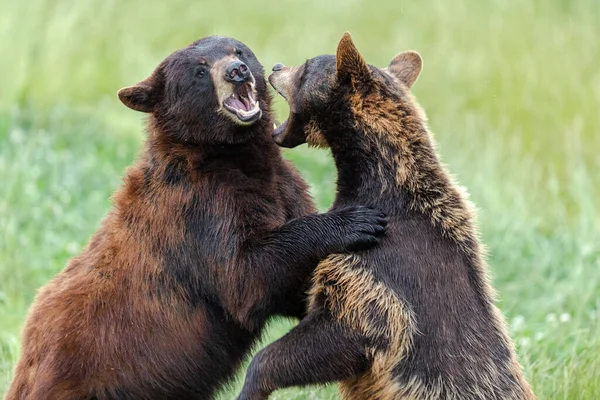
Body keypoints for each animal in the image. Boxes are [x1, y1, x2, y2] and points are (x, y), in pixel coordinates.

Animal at [4, 35, 386, 400]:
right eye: (200, 71)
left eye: (238, 50)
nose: (236, 71)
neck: (232, 155)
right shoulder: (197, 210)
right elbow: (245, 274)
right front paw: (356, 221)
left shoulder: (282, 184)